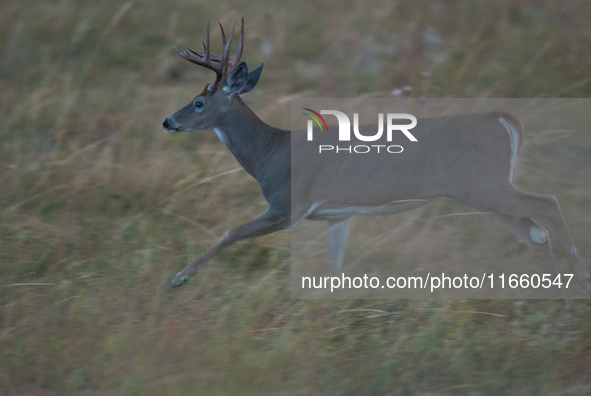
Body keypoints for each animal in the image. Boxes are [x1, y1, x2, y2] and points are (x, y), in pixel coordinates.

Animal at [162, 18, 591, 292]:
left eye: (199, 102)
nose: (168, 121)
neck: (271, 152)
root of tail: (502, 119)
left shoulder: (289, 205)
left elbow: (230, 232)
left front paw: (178, 278)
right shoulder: (337, 215)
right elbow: (333, 269)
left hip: (485, 185)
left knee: (548, 204)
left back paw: (578, 278)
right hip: (485, 191)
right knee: (535, 232)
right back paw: (558, 296)